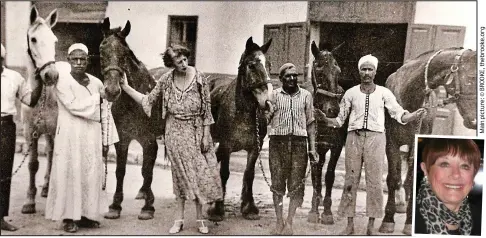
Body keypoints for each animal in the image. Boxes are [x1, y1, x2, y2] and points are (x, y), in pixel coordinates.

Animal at [99, 17, 166, 220]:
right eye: (101, 51)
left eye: (125, 54)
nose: (112, 91)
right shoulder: (122, 140)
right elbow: (120, 171)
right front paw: (115, 206)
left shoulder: (148, 140)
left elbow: (147, 170)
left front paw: (148, 207)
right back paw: (143, 191)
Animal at [206, 36, 274, 220]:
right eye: (251, 65)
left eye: (268, 65)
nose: (267, 102)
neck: (242, 111)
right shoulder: (226, 145)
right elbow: (224, 173)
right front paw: (218, 209)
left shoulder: (255, 147)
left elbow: (249, 174)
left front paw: (248, 208)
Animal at [380, 47, 474, 234]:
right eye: (473, 77)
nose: (475, 121)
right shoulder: (391, 144)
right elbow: (393, 178)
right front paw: (388, 219)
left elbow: (411, 179)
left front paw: (409, 222)